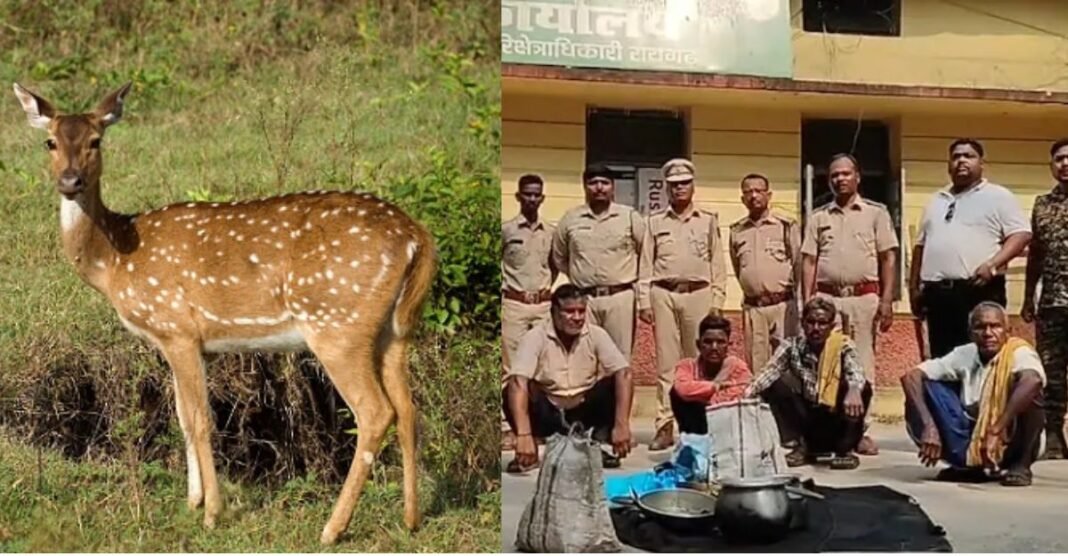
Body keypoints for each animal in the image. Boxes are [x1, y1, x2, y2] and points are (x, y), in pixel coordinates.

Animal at [12, 82, 437, 545]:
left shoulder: (177, 327)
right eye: (50, 142)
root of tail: (417, 238)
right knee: (409, 409)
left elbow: (201, 421)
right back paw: (411, 518)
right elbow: (181, 417)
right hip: (395, 329)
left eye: (96, 140)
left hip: (337, 322)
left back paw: (332, 528)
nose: (70, 181)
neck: (114, 261)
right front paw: (192, 501)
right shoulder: (180, 343)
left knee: (375, 412)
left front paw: (213, 512)